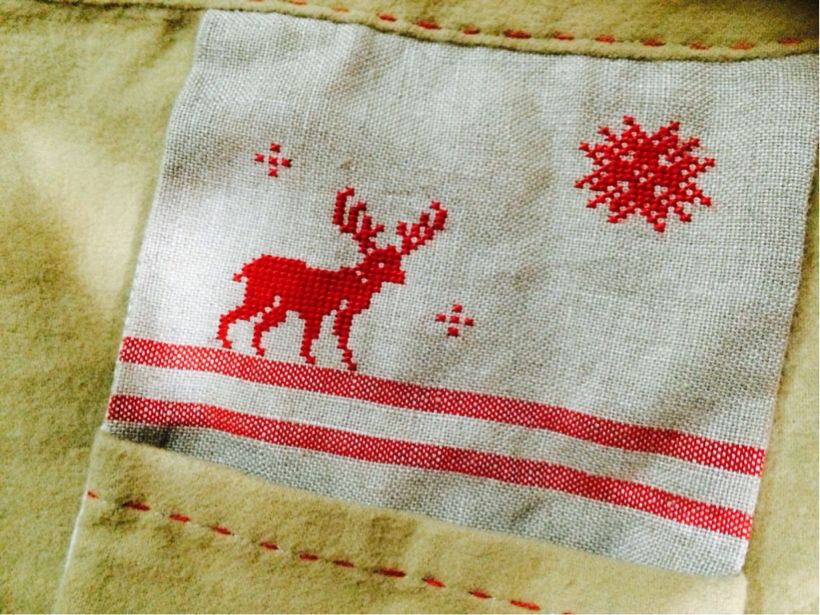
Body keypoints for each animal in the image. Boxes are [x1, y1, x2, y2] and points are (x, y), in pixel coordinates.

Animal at [216, 187, 447, 371]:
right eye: (381, 264)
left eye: (398, 263)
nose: (401, 276)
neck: (352, 283)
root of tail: (250, 265)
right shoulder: (318, 312)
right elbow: (315, 336)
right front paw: (314, 359)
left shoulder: (338, 313)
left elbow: (337, 335)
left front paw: (345, 361)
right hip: (260, 296)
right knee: (233, 316)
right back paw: (227, 342)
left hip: (279, 305)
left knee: (259, 323)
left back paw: (257, 349)